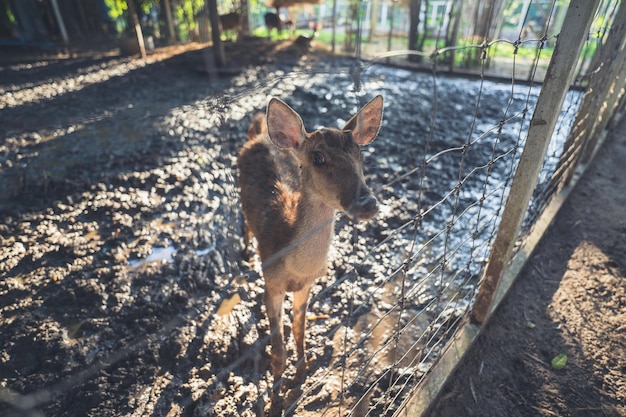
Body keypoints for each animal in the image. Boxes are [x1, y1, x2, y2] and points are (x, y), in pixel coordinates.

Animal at [235, 95, 382, 400]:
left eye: (359, 154)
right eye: (318, 158)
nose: (368, 203)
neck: (295, 265)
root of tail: (259, 134)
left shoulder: (307, 285)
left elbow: (299, 330)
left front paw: (302, 372)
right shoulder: (271, 281)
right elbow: (278, 349)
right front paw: (276, 394)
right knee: (243, 222)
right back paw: (244, 252)